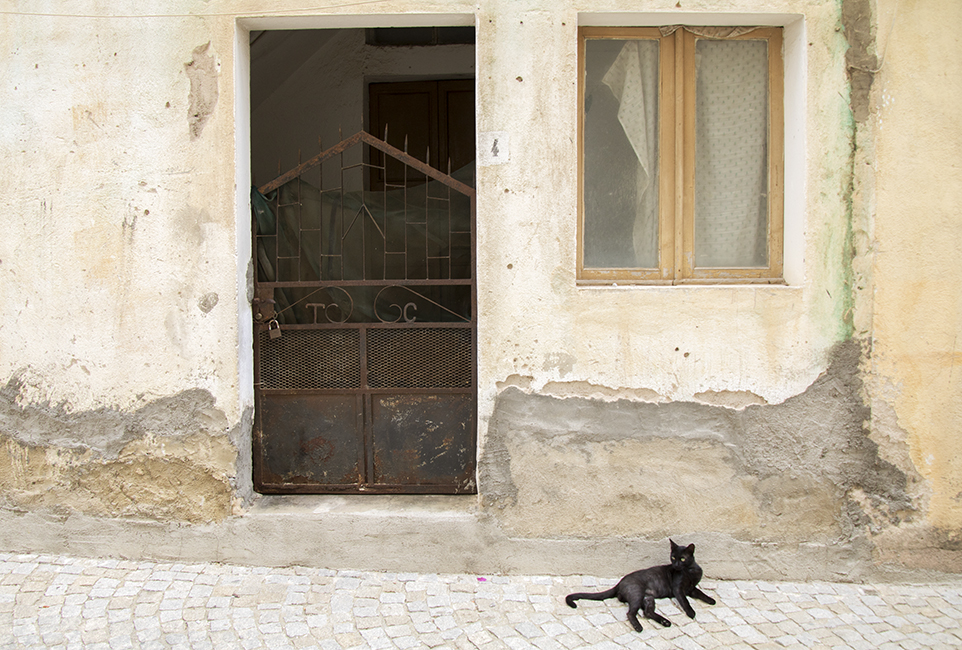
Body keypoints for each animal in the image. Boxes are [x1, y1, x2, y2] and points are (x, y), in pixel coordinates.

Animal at [564, 540, 712, 632]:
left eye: (682, 558)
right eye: (673, 557)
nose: (675, 565)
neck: (690, 571)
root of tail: (620, 582)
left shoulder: (691, 588)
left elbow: (701, 594)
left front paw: (711, 600)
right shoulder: (679, 589)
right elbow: (685, 601)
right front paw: (691, 613)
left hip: (648, 598)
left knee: (647, 612)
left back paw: (665, 622)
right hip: (637, 594)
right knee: (631, 613)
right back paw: (638, 627)